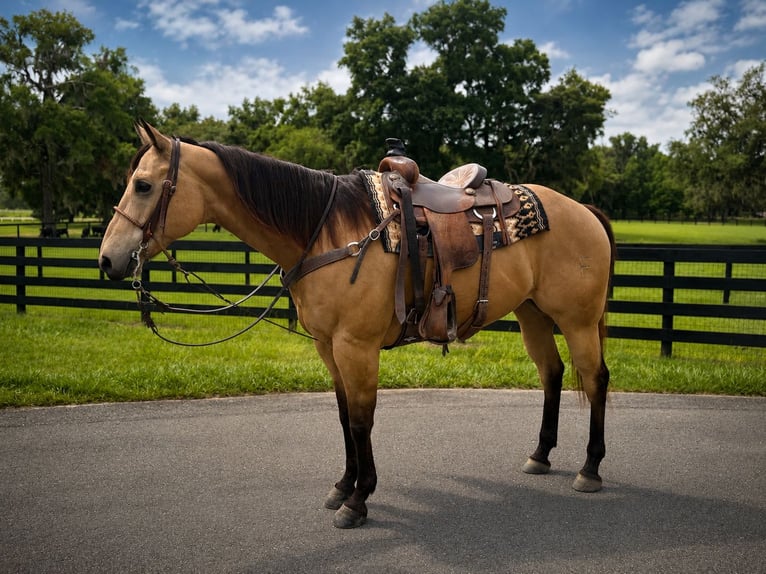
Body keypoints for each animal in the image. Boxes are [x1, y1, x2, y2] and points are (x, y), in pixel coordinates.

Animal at [98, 121, 616, 529]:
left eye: (142, 185)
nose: (107, 260)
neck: (325, 232)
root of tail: (584, 210)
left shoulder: (356, 347)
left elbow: (363, 420)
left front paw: (359, 499)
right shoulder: (328, 347)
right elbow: (344, 415)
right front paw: (342, 486)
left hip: (578, 320)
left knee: (595, 378)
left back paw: (590, 469)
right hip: (533, 314)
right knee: (552, 374)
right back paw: (541, 455)